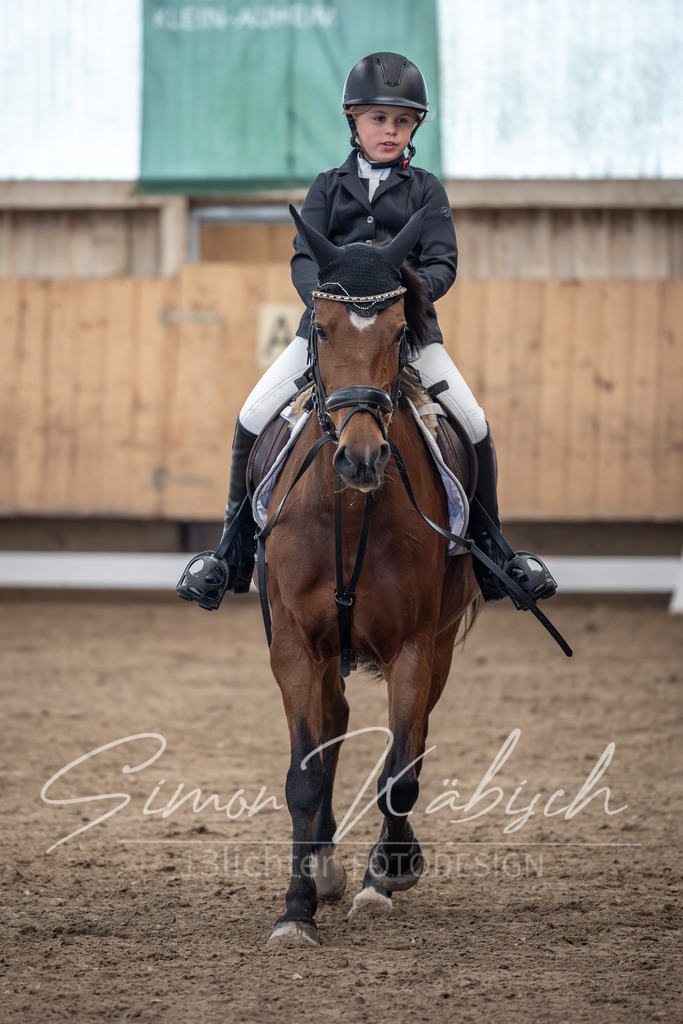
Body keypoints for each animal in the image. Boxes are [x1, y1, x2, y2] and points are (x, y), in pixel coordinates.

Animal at [259, 206, 480, 947]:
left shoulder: (414, 646)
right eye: (322, 328)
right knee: (332, 723)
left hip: (438, 643)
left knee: (410, 741)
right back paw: (324, 868)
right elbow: (303, 774)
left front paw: (388, 874)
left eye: (398, 331)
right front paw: (295, 911)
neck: (350, 509)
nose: (360, 458)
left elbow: (400, 772)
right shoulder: (295, 645)